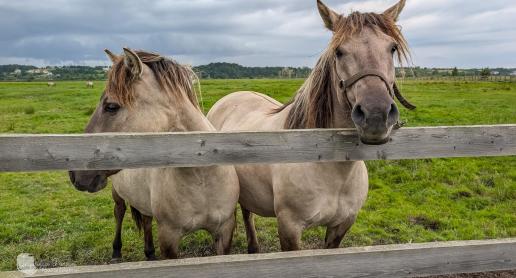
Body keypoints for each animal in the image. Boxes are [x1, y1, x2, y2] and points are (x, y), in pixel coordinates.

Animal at [68, 48, 240, 260]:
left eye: (111, 106)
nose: (74, 174)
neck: (202, 178)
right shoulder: (169, 237)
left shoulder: (224, 231)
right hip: (117, 193)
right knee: (119, 212)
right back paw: (116, 251)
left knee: (146, 219)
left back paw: (149, 253)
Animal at [208, 0, 414, 252]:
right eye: (339, 51)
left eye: (392, 48)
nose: (376, 115)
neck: (331, 168)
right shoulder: (289, 228)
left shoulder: (340, 227)